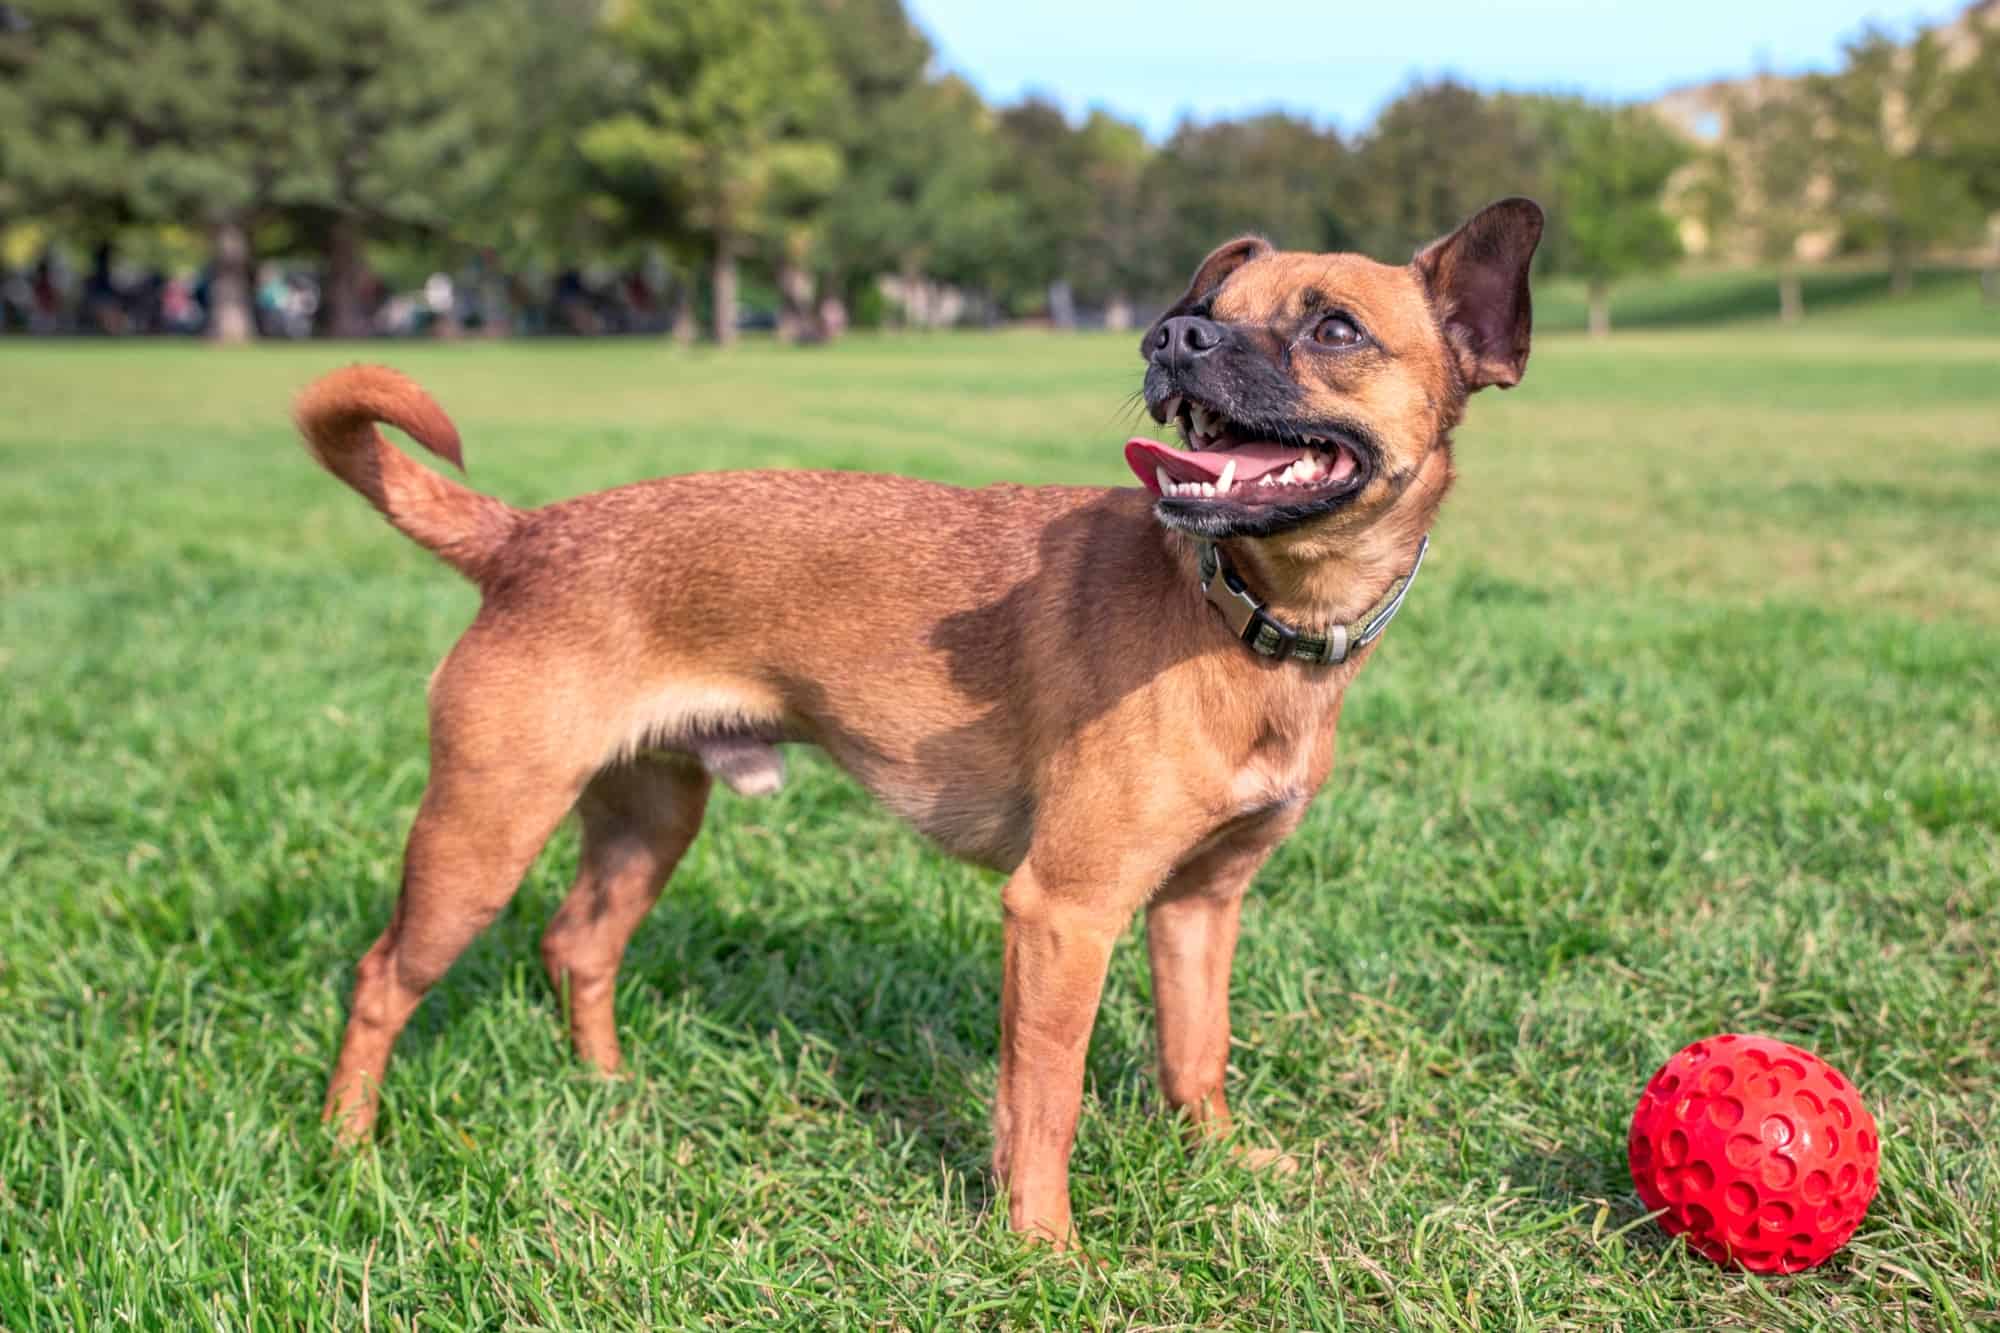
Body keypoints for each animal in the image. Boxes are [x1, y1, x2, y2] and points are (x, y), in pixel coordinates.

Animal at [300, 197, 1544, 1248]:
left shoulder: (1198, 908)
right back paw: (345, 1147)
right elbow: (1043, 1100)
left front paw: (1222, 1162)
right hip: (481, 836)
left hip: (646, 821)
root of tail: (524, 536)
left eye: (1333, 329)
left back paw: (605, 1091)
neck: (1237, 616)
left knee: (577, 945)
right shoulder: (1062, 915)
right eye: (1206, 309)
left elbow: (1197, 1056)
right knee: (379, 979)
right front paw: (1042, 1246)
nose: (1171, 336)